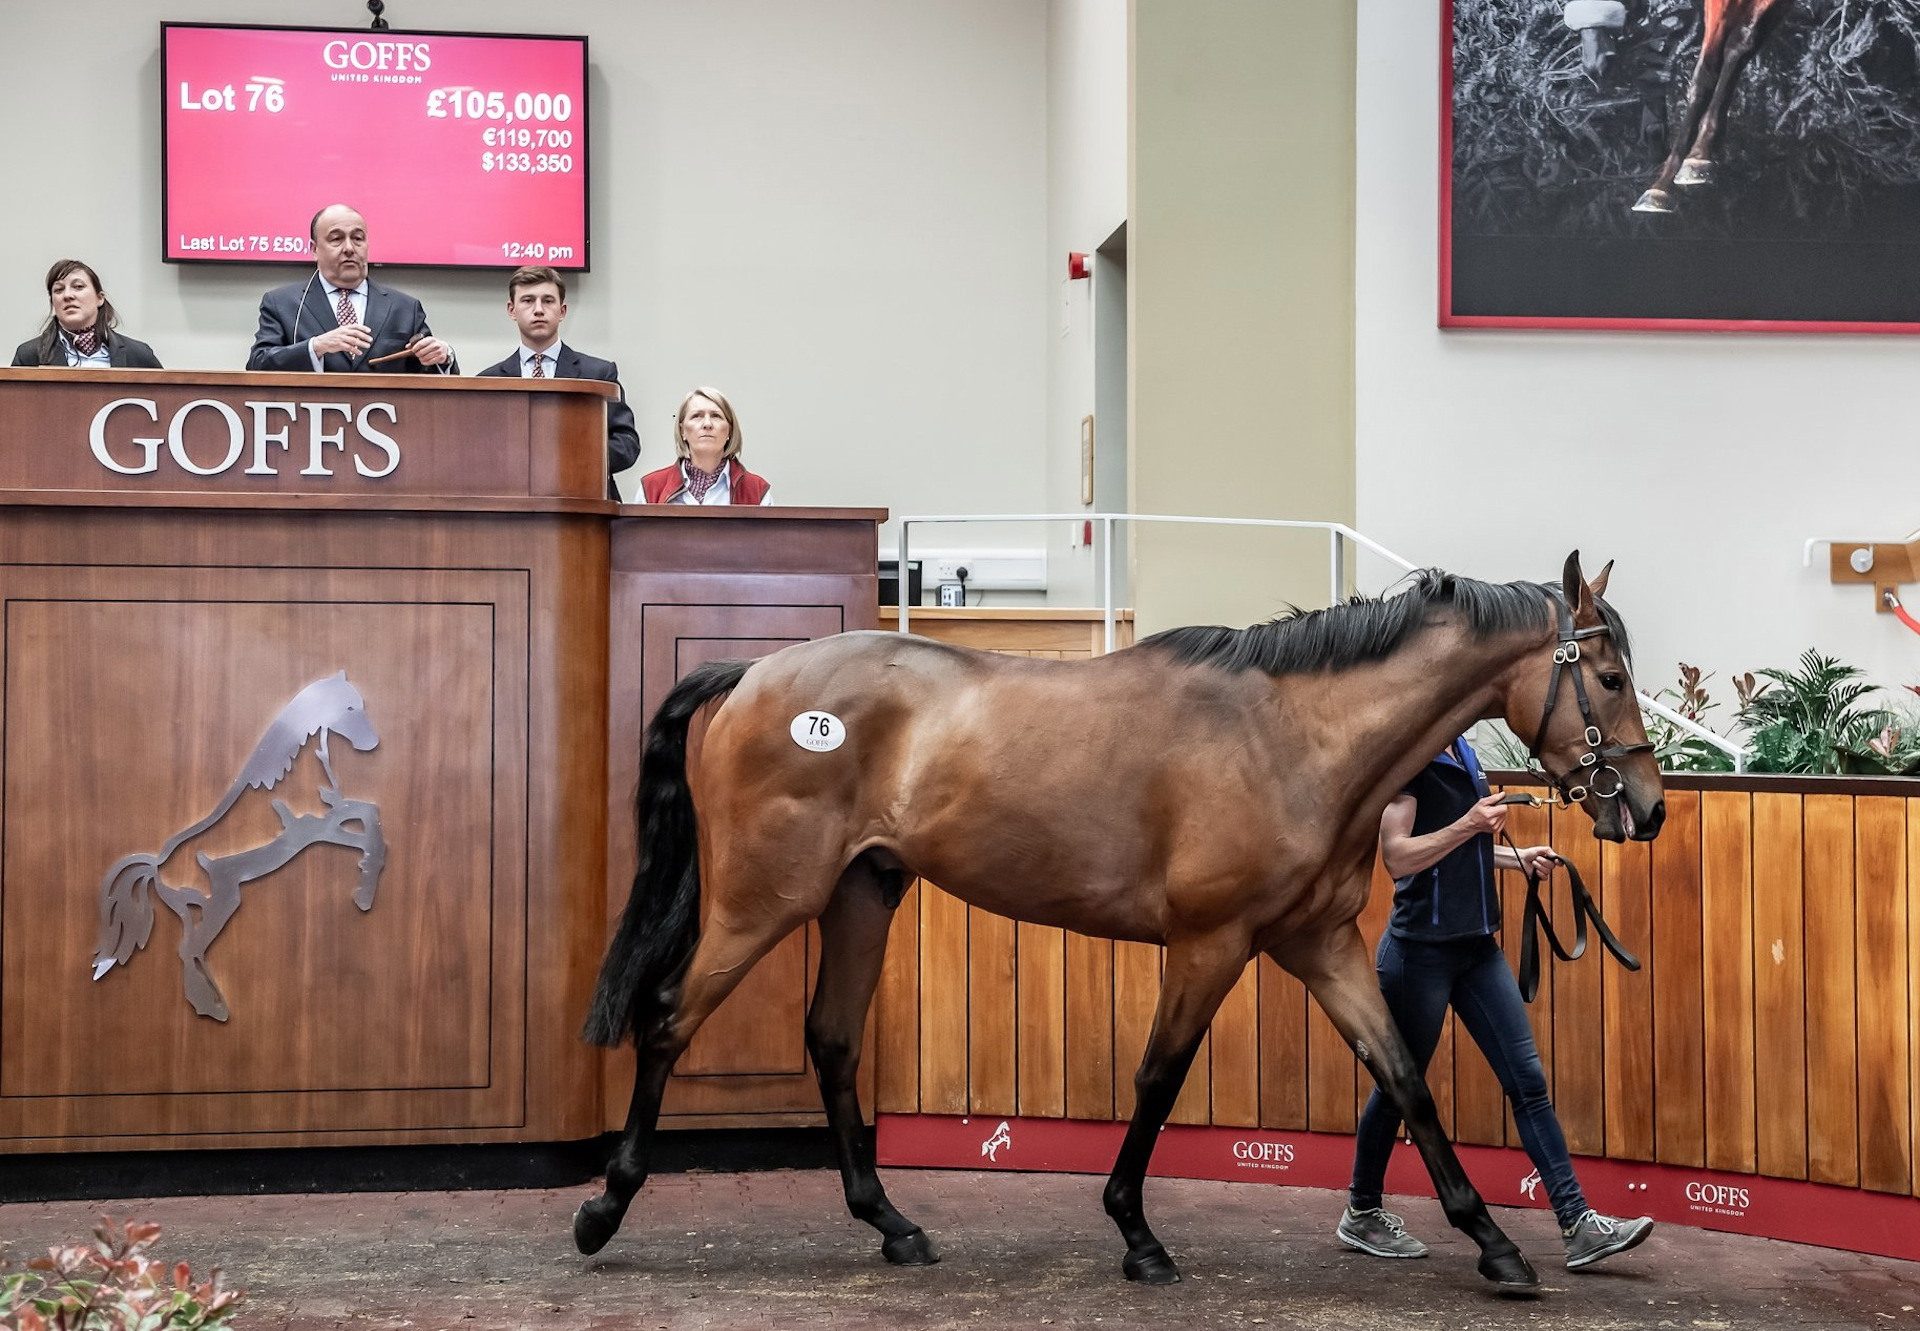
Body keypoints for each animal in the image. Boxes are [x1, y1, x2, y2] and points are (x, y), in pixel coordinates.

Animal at [579, 553, 1666, 1290]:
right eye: (1610, 676)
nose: (1649, 807)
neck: (1293, 735)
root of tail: (754, 674)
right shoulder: (1210, 941)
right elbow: (1157, 1077)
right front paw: (1137, 1234)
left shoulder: (1321, 944)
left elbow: (1404, 1076)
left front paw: (1495, 1244)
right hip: (763, 901)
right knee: (669, 1017)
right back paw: (602, 1208)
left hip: (861, 894)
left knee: (833, 1039)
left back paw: (893, 1224)